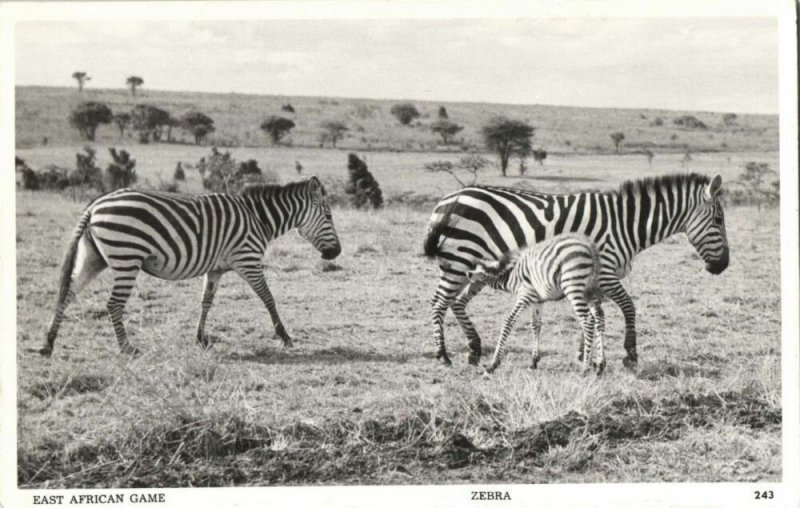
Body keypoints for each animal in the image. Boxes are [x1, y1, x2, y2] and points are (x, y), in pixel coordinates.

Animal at [40, 178, 340, 358]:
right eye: (328, 216)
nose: (336, 252)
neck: (258, 219)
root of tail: (94, 206)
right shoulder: (248, 260)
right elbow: (268, 298)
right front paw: (284, 336)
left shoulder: (215, 269)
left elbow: (206, 302)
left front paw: (200, 338)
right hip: (127, 258)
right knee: (113, 304)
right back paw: (127, 348)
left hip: (94, 257)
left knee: (67, 294)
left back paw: (48, 344)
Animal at [466, 233, 604, 374]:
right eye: (475, 267)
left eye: (482, 270)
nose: (468, 273)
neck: (512, 277)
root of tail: (589, 246)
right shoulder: (537, 301)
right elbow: (536, 325)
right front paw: (534, 361)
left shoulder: (524, 296)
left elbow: (508, 322)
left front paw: (493, 364)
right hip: (589, 290)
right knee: (599, 316)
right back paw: (600, 364)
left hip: (573, 286)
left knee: (587, 320)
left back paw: (585, 368)